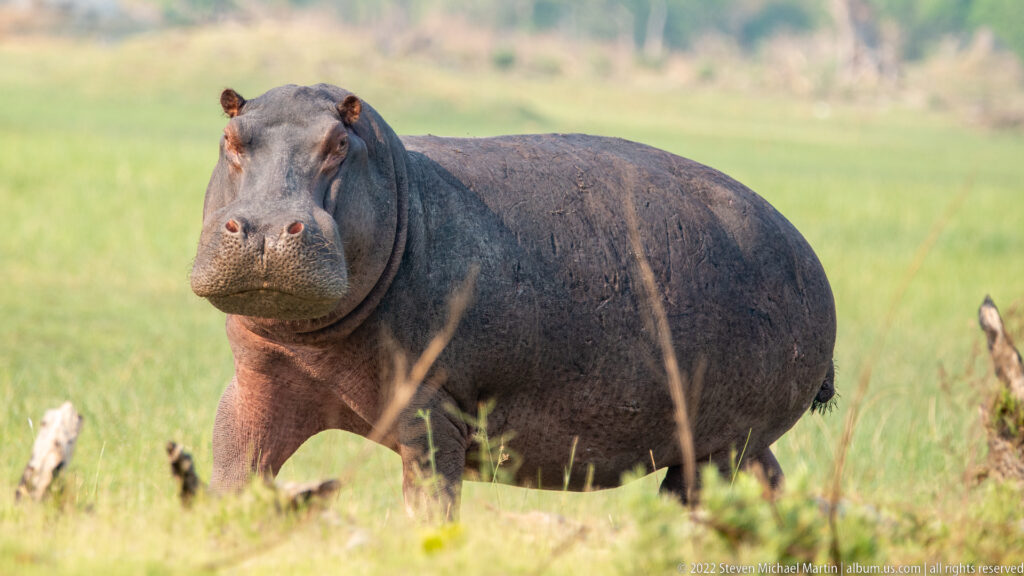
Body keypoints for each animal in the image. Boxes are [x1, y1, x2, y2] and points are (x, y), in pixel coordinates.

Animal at [190, 83, 836, 517]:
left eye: (337, 144)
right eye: (229, 139)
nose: (266, 229)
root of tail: (807, 250)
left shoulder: (430, 409)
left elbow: (430, 506)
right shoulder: (258, 383)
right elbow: (233, 468)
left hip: (723, 443)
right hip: (733, 443)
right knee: (771, 487)